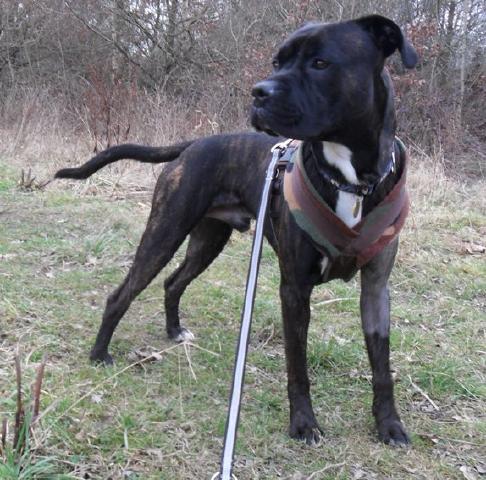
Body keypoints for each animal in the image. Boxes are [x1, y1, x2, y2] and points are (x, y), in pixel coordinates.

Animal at [54, 15, 418, 446]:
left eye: (321, 63)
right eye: (277, 61)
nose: (258, 92)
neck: (352, 182)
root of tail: (193, 144)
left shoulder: (376, 289)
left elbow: (382, 367)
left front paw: (389, 424)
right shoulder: (294, 289)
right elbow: (297, 365)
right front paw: (303, 423)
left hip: (207, 241)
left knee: (173, 282)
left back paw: (174, 331)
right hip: (164, 233)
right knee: (122, 293)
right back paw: (99, 353)